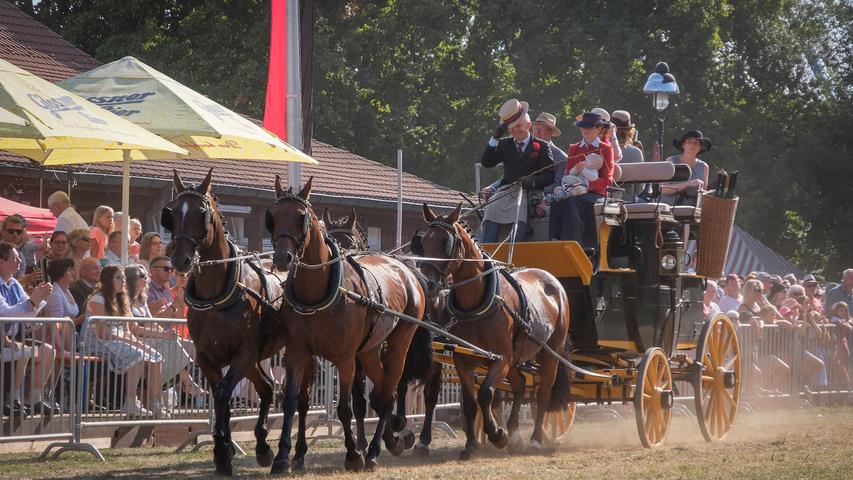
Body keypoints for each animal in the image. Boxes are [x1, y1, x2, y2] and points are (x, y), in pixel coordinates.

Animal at [161, 170, 288, 476]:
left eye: (201, 213)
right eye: (173, 213)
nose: (180, 260)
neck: (217, 297)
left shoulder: (242, 355)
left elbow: (221, 394)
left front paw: (222, 450)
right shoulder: (207, 357)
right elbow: (222, 398)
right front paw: (225, 451)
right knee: (267, 387)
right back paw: (263, 447)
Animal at [266, 176, 426, 472]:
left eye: (301, 216)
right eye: (273, 216)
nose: (283, 258)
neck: (317, 291)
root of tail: (407, 271)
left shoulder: (346, 358)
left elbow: (345, 408)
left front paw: (353, 453)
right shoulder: (298, 353)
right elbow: (293, 401)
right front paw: (283, 456)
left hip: (399, 343)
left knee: (388, 394)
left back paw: (374, 452)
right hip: (370, 351)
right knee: (381, 391)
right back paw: (391, 440)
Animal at [414, 202, 572, 458]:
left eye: (445, 242)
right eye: (424, 241)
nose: (427, 283)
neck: (477, 304)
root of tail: (551, 279)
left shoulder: (501, 358)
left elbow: (486, 393)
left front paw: (497, 435)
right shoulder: (463, 360)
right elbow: (470, 402)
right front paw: (471, 445)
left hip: (549, 353)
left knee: (543, 394)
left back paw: (534, 439)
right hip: (516, 359)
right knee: (519, 385)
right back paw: (515, 434)